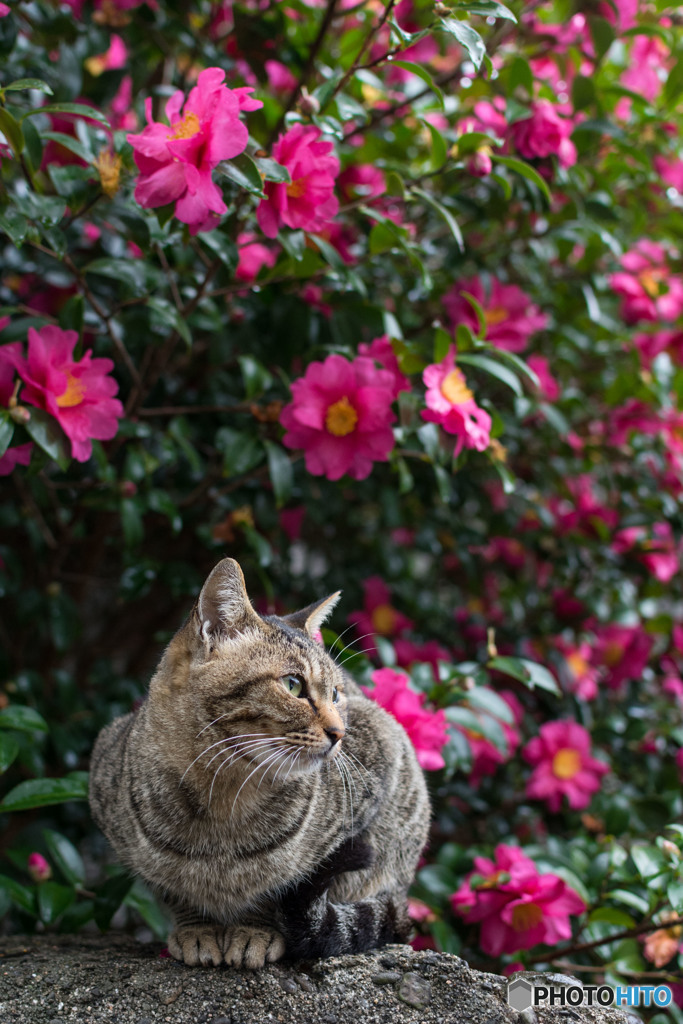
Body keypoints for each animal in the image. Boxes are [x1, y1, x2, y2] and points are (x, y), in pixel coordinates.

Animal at [89, 561, 432, 966]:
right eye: (293, 685)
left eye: (336, 693)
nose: (340, 733)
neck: (222, 793)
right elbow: (175, 891)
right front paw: (196, 929)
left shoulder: (380, 757)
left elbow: (280, 886)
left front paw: (255, 931)